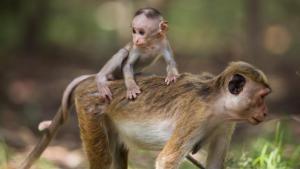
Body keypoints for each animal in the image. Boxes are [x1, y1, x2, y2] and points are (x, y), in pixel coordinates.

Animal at [19, 61, 270, 168]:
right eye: (262, 97)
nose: (266, 112)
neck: (216, 102)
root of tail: (92, 82)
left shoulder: (226, 124)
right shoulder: (195, 115)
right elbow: (166, 160)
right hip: (89, 107)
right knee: (103, 160)